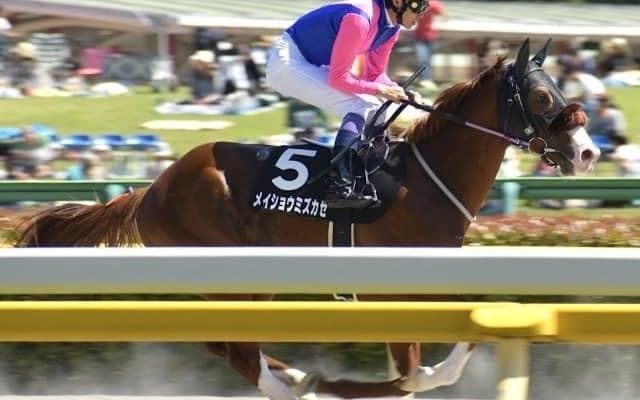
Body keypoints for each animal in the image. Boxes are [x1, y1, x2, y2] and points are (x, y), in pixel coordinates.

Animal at [15, 38, 599, 400]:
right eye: (541, 94)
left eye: (561, 90)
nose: (589, 152)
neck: (424, 178)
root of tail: (154, 187)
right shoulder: (393, 290)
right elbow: (416, 371)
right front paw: (370, 384)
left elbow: (434, 354)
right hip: (226, 274)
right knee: (239, 352)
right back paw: (298, 385)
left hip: (251, 281)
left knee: (227, 345)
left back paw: (297, 375)